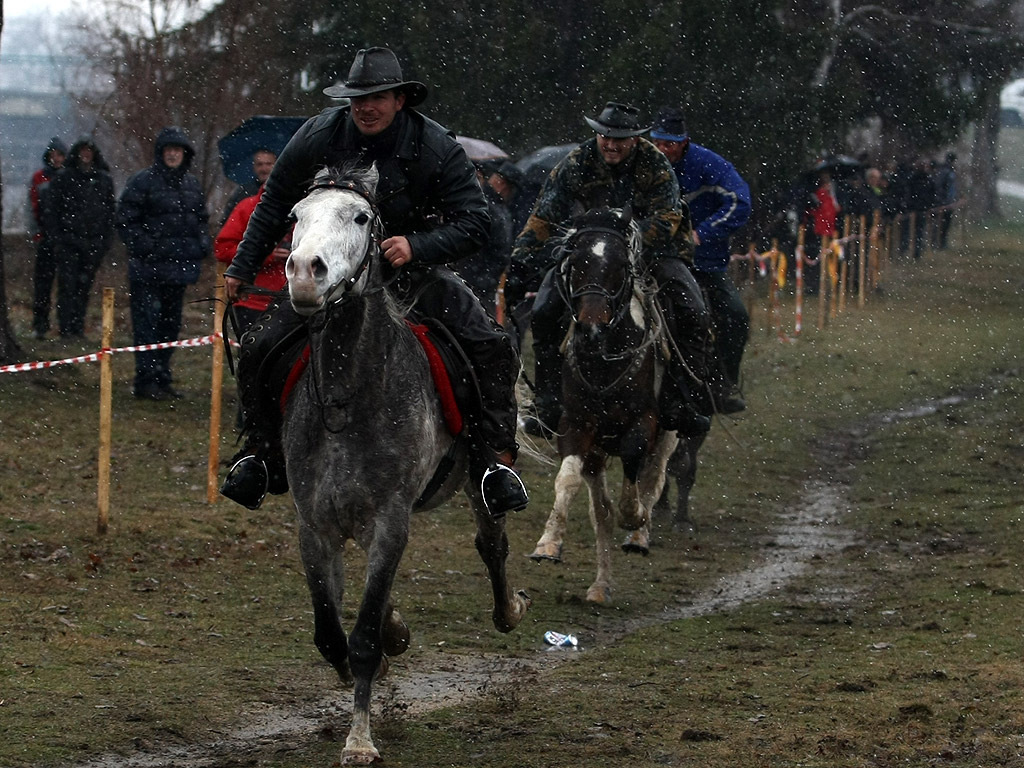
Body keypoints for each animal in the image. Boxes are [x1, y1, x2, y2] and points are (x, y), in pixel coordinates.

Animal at [284, 165, 532, 765]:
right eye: (296, 216)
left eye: (361, 217)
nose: (304, 274)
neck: (349, 398)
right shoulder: (314, 526)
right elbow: (330, 632)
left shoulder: (392, 520)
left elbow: (363, 638)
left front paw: (359, 741)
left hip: (477, 482)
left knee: (492, 544)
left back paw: (508, 609)